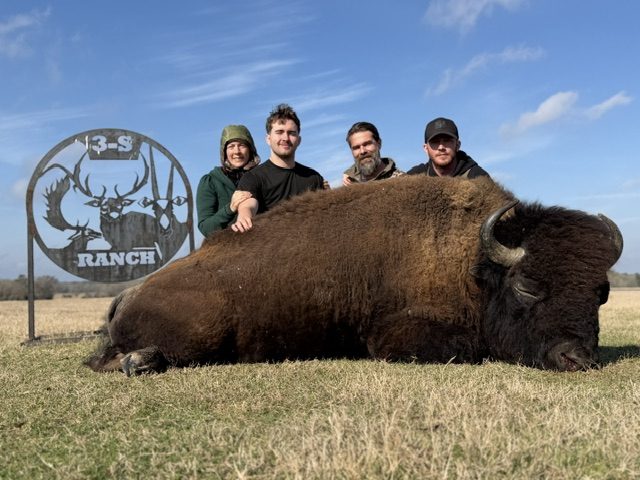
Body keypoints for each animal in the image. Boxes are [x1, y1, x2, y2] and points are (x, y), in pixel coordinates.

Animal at [86, 176, 623, 375]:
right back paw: (139, 362)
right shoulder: (396, 337)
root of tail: (130, 291)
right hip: (203, 331)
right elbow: (467, 348)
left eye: (601, 293)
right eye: (528, 286)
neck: (473, 262)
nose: (578, 358)